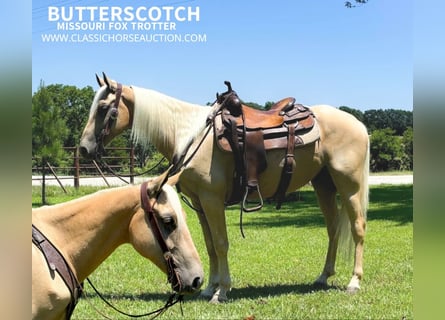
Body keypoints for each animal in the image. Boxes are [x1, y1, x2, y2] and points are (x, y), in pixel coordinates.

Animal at [79, 74, 368, 304]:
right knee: (333, 229)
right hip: (324, 185)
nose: (83, 148)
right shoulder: (199, 203)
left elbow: (220, 243)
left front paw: (222, 291)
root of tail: (358, 124)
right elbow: (209, 245)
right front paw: (209, 288)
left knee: (357, 228)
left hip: (349, 185)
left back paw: (354, 282)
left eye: (104, 108)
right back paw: (323, 276)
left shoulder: (212, 200)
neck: (190, 136)